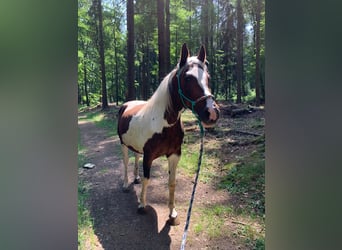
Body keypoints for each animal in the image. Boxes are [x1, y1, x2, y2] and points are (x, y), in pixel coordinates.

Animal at [117, 43, 219, 227]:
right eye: (187, 78)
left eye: (208, 77)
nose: (212, 113)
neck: (163, 124)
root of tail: (127, 105)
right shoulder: (149, 156)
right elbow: (147, 179)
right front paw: (142, 205)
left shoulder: (174, 154)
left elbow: (172, 183)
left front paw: (172, 213)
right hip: (123, 144)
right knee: (126, 161)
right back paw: (126, 184)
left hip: (136, 147)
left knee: (135, 157)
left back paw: (135, 178)